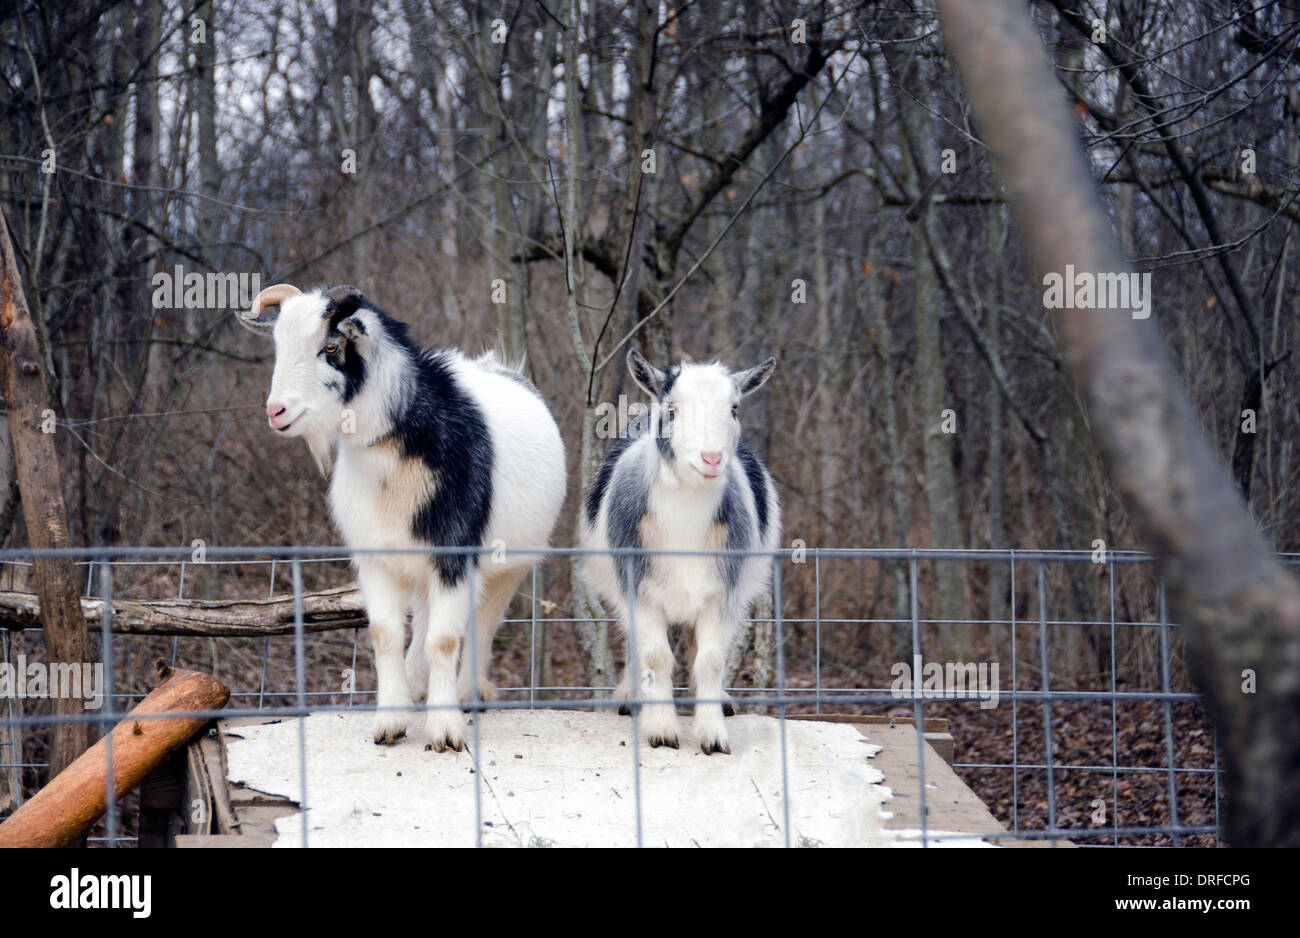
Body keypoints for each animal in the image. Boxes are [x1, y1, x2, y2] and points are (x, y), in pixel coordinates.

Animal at [239, 281, 564, 748]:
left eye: (330, 346)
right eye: (278, 346)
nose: (276, 411)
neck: (404, 444)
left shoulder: (454, 555)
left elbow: (445, 640)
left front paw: (445, 730)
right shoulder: (376, 558)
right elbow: (386, 634)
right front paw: (391, 720)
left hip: (509, 566)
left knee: (480, 624)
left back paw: (467, 693)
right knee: (426, 620)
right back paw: (415, 685)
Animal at [582, 348, 780, 748]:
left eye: (734, 408)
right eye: (672, 409)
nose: (711, 458)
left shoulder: (722, 592)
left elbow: (710, 660)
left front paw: (713, 736)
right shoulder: (639, 588)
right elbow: (656, 656)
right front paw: (661, 731)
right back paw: (629, 696)